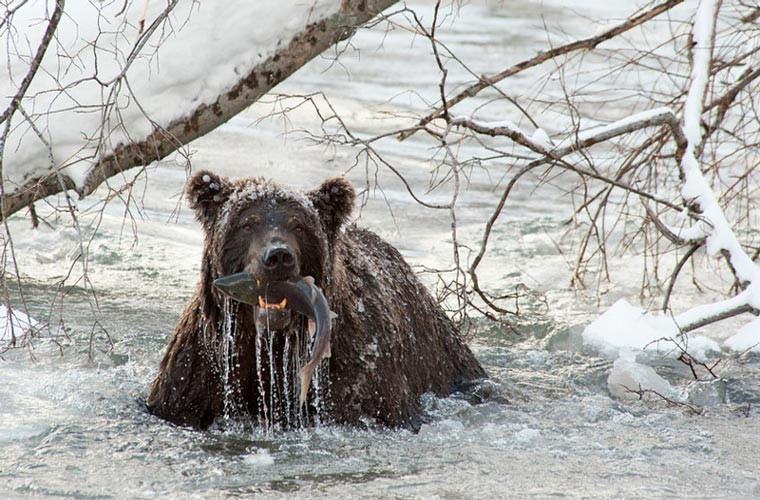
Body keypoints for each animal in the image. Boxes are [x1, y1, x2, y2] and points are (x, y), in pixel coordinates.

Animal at [145, 171, 484, 430]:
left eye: (298, 224)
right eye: (247, 223)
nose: (278, 256)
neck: (269, 341)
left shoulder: (357, 366)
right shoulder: (205, 363)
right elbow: (181, 399)